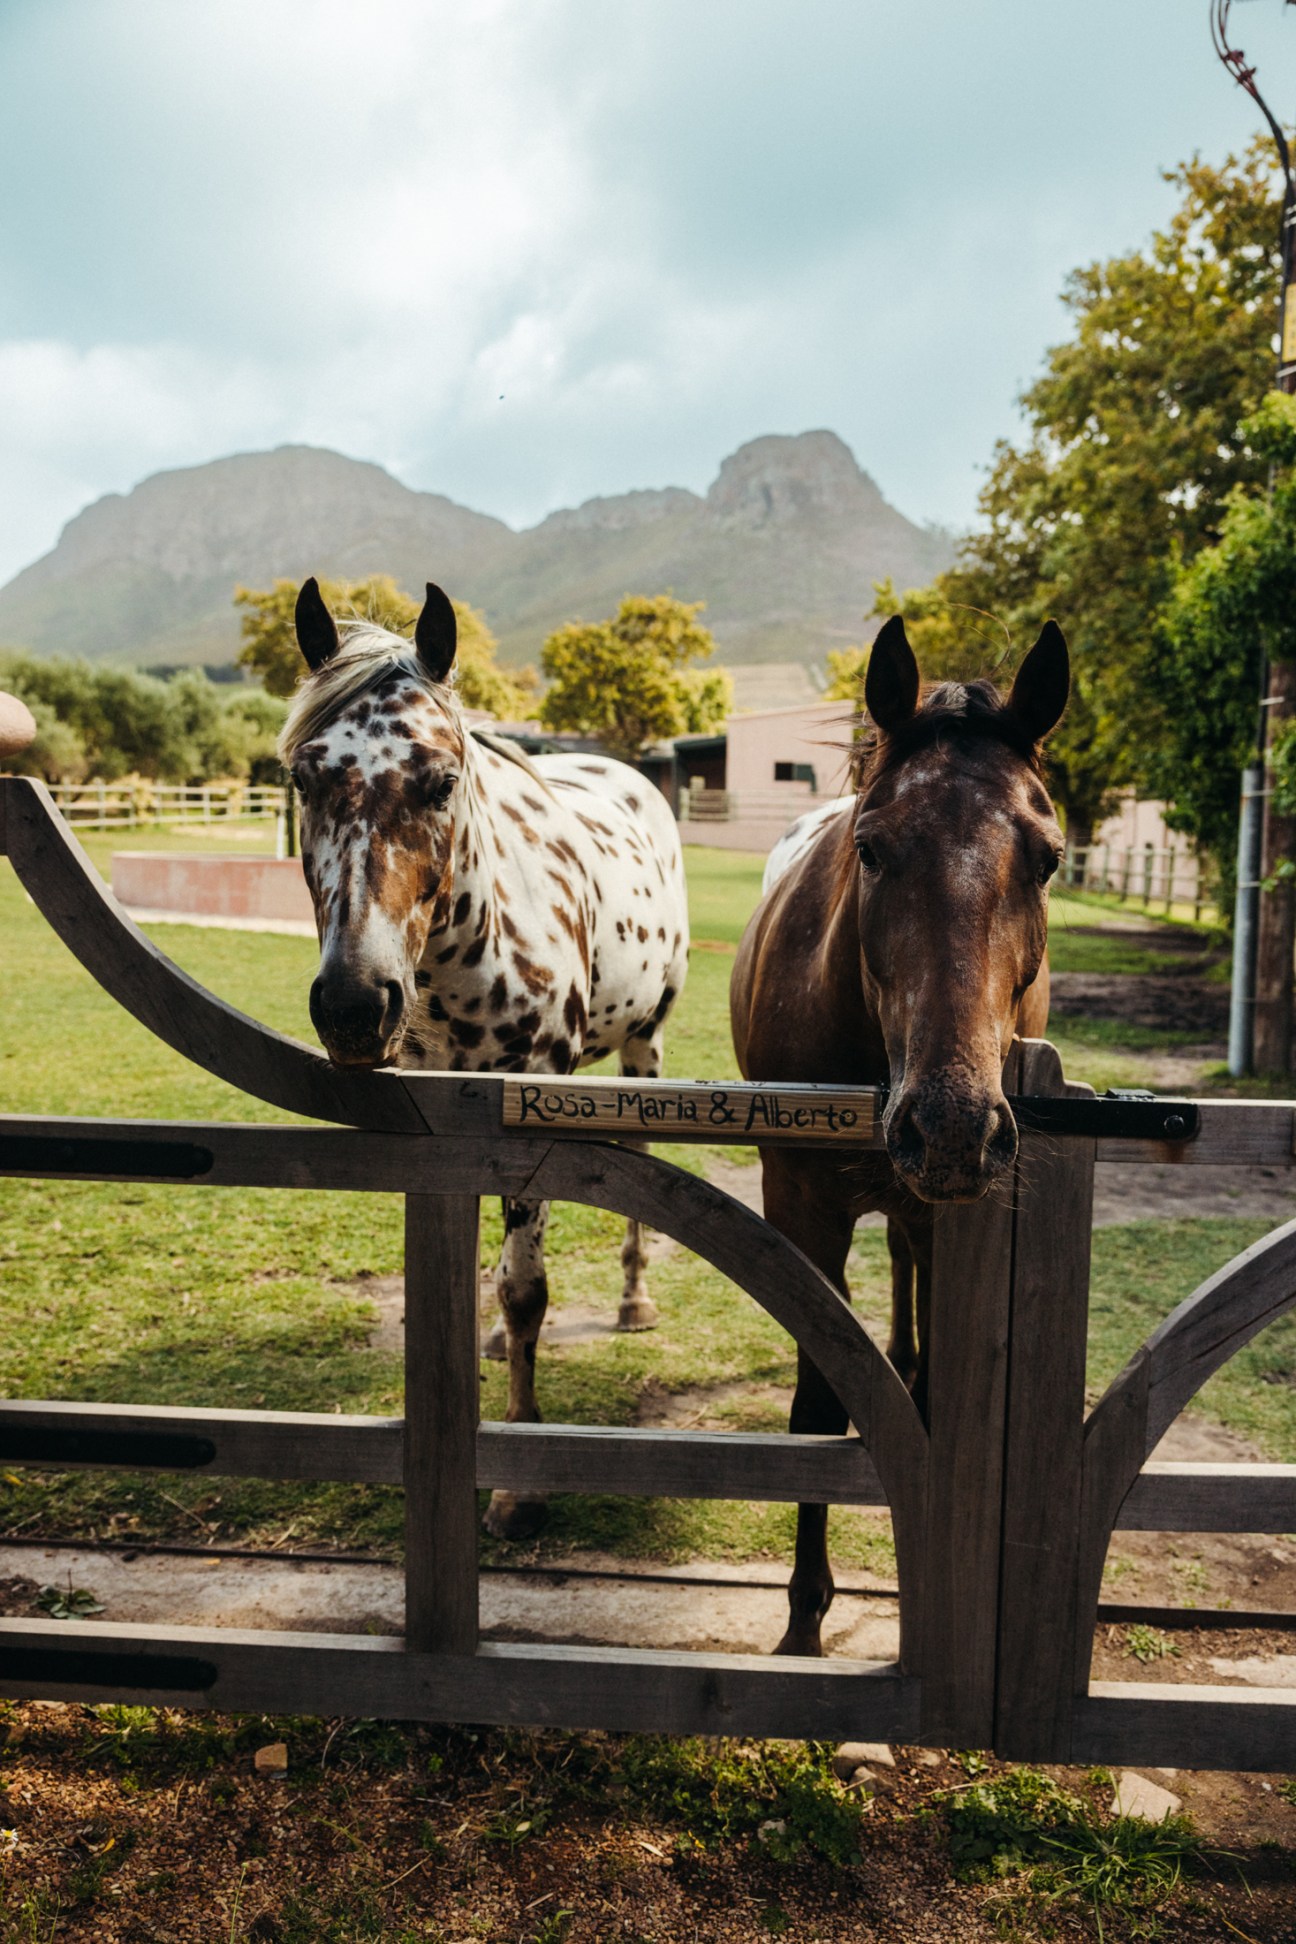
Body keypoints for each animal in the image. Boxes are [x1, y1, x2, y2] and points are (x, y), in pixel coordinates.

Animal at [280, 577, 690, 1540]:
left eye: (441, 780)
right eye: (303, 776)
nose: (354, 1005)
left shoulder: (531, 1095)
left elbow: (526, 1288)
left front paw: (518, 1483)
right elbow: (476, 1269)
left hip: (643, 1048)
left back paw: (633, 1301)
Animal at [730, 614, 1069, 1655]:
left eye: (1048, 857)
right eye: (873, 849)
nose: (951, 1126)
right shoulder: (801, 1199)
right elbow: (816, 1404)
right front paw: (804, 1618)